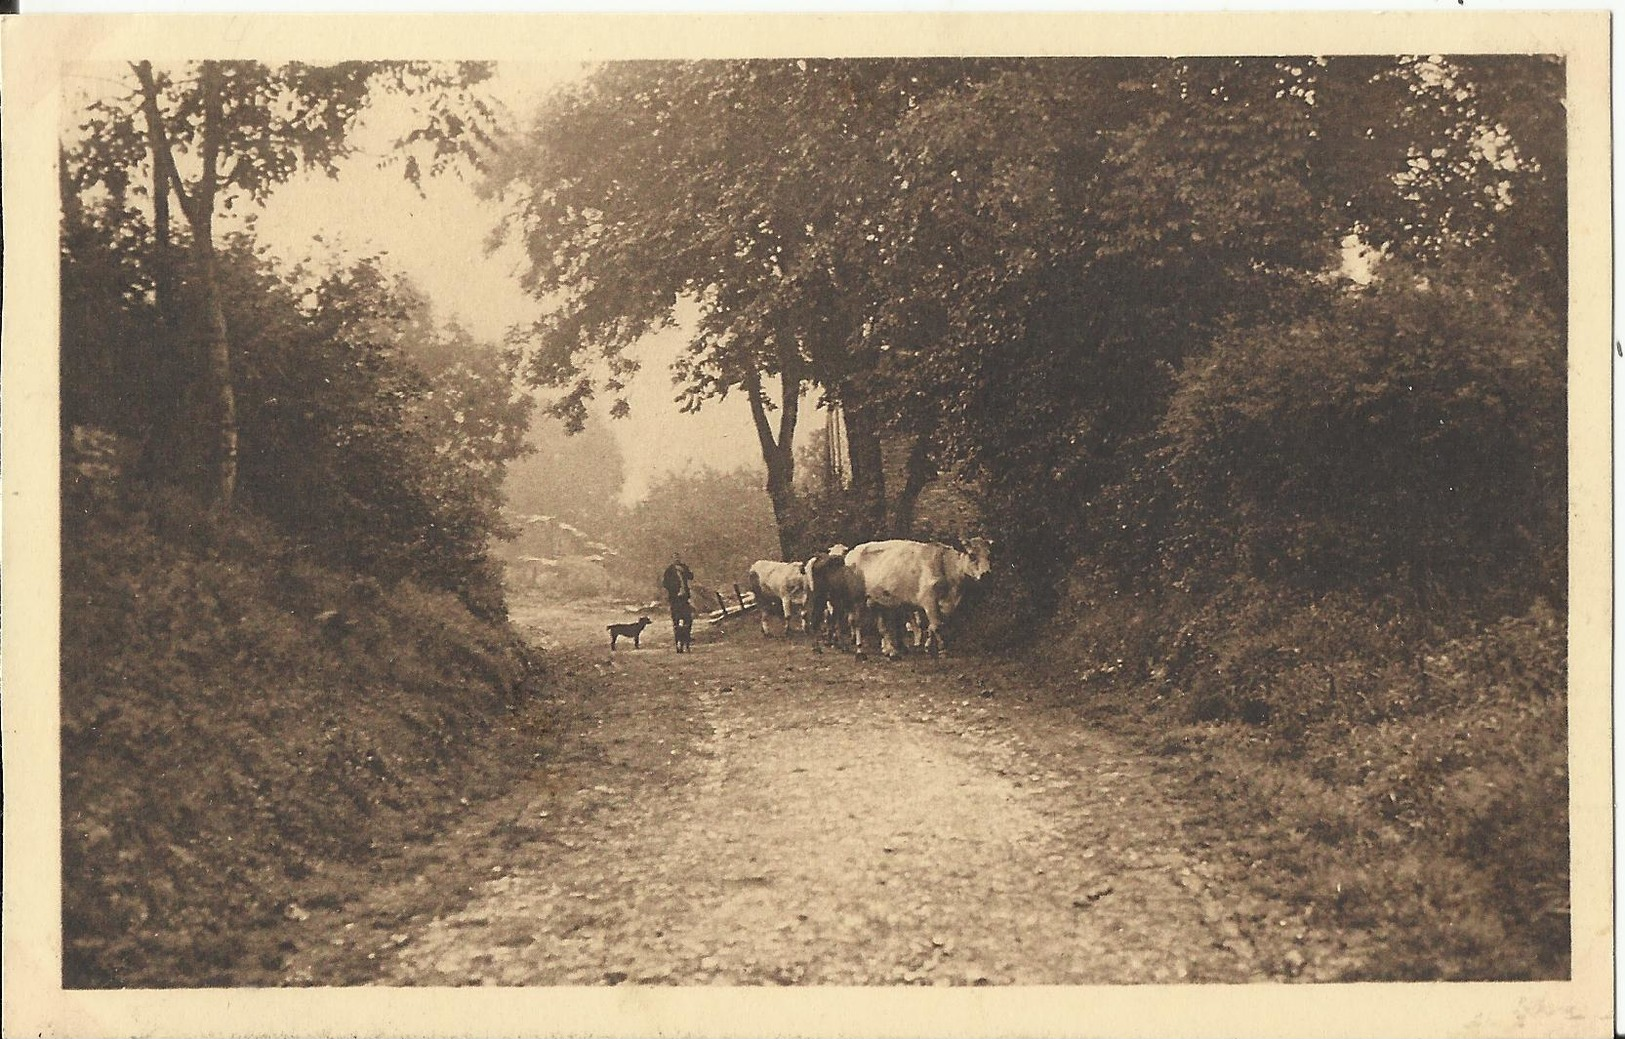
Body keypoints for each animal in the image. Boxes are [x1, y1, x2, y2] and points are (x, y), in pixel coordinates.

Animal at [845, 536, 994, 656]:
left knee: (881, 626)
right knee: (856, 622)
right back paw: (860, 649)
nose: (986, 575)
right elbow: (936, 625)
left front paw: (928, 646)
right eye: (972, 555)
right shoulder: (929, 600)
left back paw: (890, 650)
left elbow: (932, 626)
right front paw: (942, 649)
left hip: (877, 601)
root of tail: (852, 552)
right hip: (857, 599)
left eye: (989, 555)